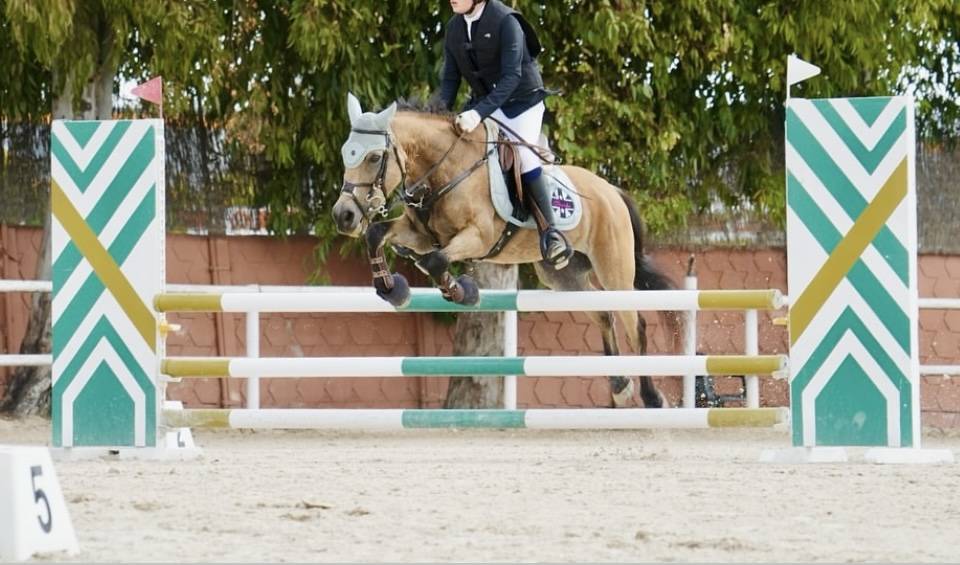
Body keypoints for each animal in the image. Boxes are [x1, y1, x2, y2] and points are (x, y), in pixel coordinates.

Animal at [332, 93, 681, 408]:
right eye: (346, 154)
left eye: (373, 158)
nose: (343, 216)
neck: (445, 171)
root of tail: (612, 191)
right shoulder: (419, 234)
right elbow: (377, 234)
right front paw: (393, 290)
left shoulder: (478, 236)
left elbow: (435, 261)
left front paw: (463, 292)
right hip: (563, 276)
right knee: (604, 314)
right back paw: (620, 385)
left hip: (614, 270)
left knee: (635, 324)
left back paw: (651, 396)